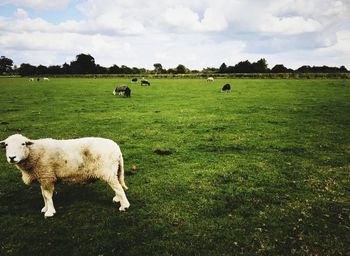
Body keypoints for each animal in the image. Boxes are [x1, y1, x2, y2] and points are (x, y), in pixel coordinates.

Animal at [0, 134, 131, 218]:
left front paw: (50, 212)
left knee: (119, 188)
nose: (11, 157)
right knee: (118, 185)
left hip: (107, 170)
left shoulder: (47, 176)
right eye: (6, 145)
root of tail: (117, 148)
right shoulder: (43, 177)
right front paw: (45, 208)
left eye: (23, 144)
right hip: (114, 170)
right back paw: (118, 199)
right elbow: (43, 195)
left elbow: (47, 195)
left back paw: (124, 206)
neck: (33, 153)